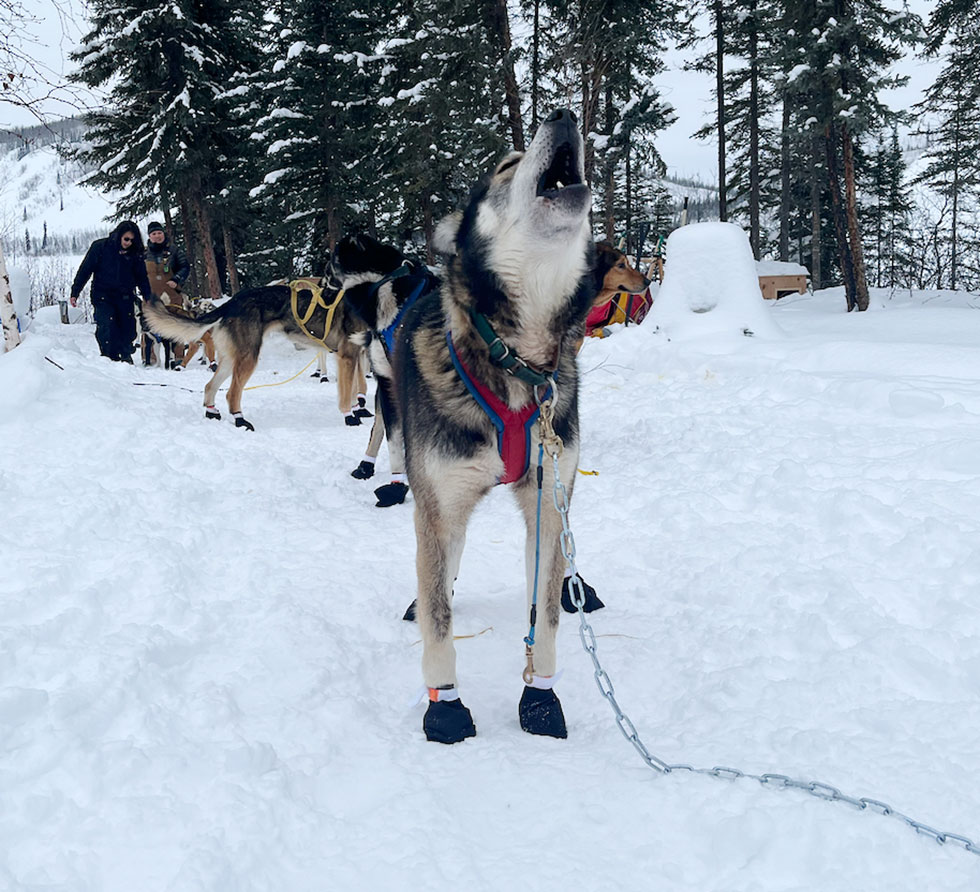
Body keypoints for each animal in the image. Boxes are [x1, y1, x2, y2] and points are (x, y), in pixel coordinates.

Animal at [145, 278, 372, 432]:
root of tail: (232, 302)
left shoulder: (357, 357)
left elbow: (357, 387)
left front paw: (358, 409)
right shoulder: (347, 357)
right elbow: (347, 394)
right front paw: (350, 417)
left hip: (231, 360)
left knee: (210, 386)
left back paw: (212, 411)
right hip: (248, 358)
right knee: (232, 393)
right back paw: (240, 420)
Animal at [394, 108, 600, 744]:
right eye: (507, 165)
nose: (565, 113)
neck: (517, 361)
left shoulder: (549, 493)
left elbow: (547, 617)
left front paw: (541, 698)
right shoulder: (438, 501)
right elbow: (438, 618)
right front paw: (445, 706)